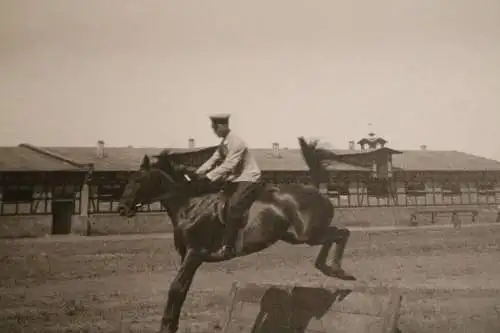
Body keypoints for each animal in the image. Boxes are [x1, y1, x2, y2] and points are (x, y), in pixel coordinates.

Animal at [117, 137, 356, 332]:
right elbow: (181, 289)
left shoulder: (195, 253)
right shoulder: (188, 256)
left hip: (308, 235)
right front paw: (171, 324)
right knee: (336, 235)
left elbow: (175, 288)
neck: (191, 204)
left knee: (341, 233)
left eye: (138, 180)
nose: (121, 208)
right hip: (295, 237)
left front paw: (166, 325)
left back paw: (337, 270)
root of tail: (317, 189)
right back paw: (327, 268)